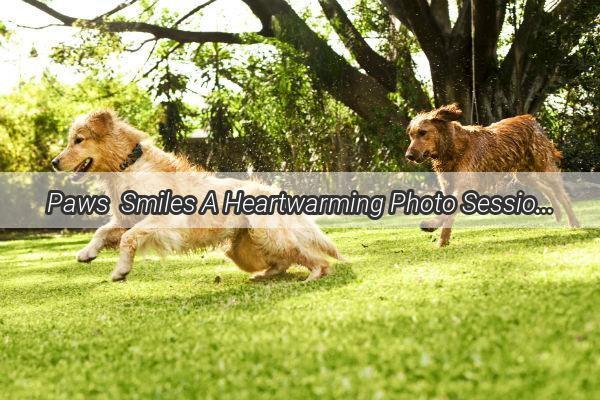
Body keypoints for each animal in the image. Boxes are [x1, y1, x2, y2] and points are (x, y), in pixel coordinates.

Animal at [50, 110, 342, 282]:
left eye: (78, 140)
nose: (53, 162)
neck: (127, 165)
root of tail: (276, 192)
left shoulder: (165, 218)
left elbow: (128, 238)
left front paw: (121, 269)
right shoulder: (127, 217)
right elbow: (103, 232)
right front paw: (87, 253)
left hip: (268, 236)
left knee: (312, 257)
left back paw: (314, 275)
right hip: (241, 249)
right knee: (285, 260)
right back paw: (264, 275)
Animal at [406, 103, 580, 247]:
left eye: (423, 132)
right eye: (411, 135)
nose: (408, 155)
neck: (453, 147)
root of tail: (530, 119)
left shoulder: (465, 185)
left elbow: (447, 212)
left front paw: (430, 225)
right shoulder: (448, 187)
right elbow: (446, 215)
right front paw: (442, 241)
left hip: (544, 168)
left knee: (563, 195)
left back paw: (574, 222)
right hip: (523, 175)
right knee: (548, 190)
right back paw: (557, 212)